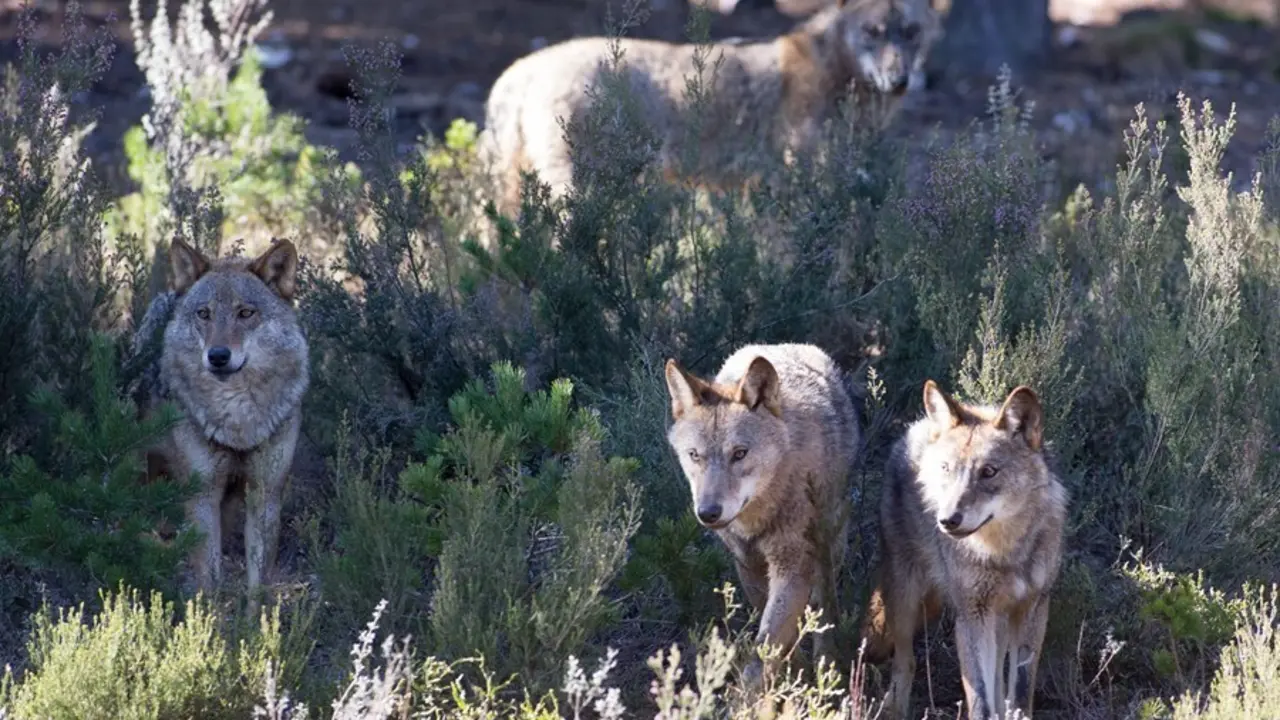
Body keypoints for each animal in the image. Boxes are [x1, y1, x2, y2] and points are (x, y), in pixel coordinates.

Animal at [133, 237, 310, 604]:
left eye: (245, 313)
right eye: (205, 314)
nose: (217, 356)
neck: (238, 424)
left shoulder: (265, 495)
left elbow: (258, 586)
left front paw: (260, 622)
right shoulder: (202, 496)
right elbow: (209, 582)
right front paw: (205, 621)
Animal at [664, 343, 861, 684]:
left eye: (740, 454)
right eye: (694, 455)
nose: (708, 513)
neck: (757, 518)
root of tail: (787, 345)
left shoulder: (793, 565)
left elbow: (765, 649)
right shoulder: (747, 564)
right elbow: (774, 636)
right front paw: (794, 674)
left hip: (829, 542)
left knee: (824, 604)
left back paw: (829, 662)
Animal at [860, 381, 1068, 720]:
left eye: (989, 472)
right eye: (947, 469)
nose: (947, 520)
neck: (1003, 553)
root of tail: (916, 427)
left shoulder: (1033, 609)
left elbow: (1019, 693)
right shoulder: (971, 615)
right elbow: (980, 698)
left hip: (997, 619)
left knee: (997, 679)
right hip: (906, 599)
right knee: (906, 662)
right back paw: (895, 709)